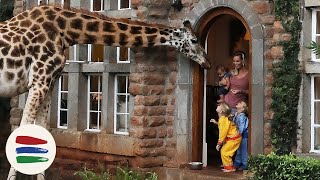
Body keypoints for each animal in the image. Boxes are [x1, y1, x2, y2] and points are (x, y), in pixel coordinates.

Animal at [1, 4, 211, 180]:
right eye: (194, 40)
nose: (207, 63)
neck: (66, 31)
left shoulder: (50, 82)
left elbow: (42, 131)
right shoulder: (39, 80)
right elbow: (21, 130)